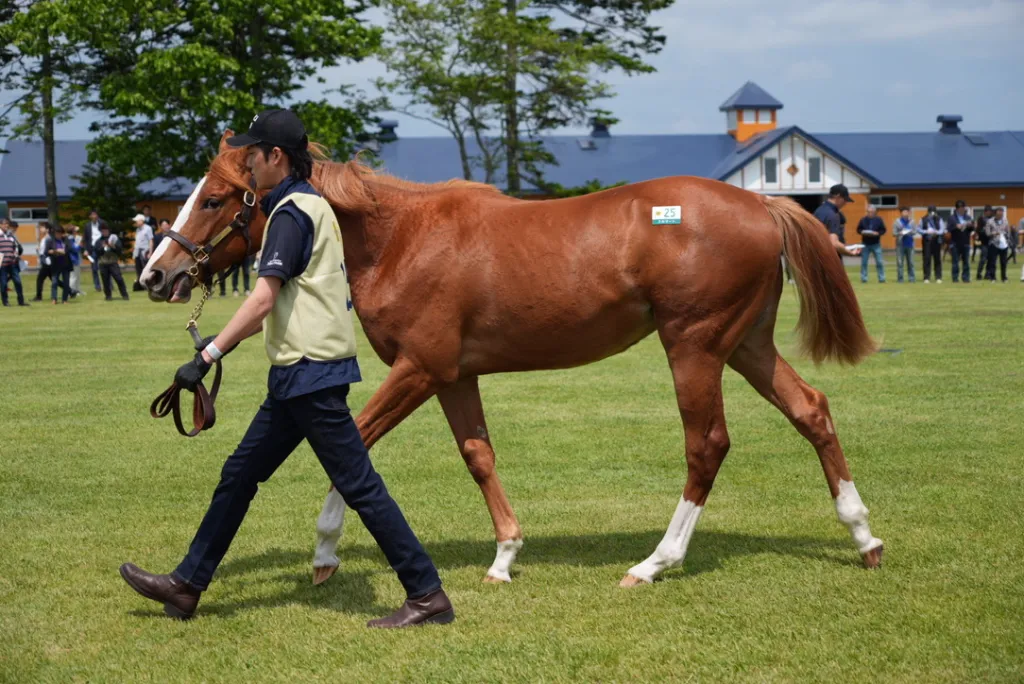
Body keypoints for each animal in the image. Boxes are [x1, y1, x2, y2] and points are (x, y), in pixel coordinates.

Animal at [141, 131, 883, 589]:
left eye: (214, 198)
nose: (156, 273)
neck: (400, 237)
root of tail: (760, 202)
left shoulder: (419, 369)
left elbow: (352, 447)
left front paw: (324, 553)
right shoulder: (455, 376)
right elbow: (478, 456)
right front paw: (504, 555)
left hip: (695, 347)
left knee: (707, 444)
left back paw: (655, 562)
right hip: (747, 345)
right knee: (812, 411)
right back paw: (863, 536)